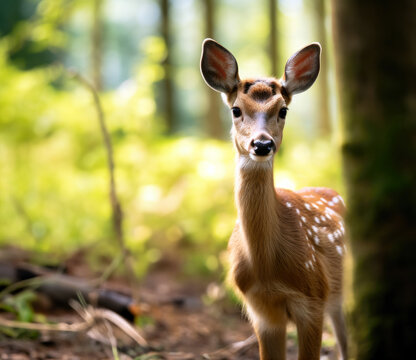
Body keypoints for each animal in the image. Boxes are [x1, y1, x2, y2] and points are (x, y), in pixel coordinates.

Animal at [202, 38, 348, 358]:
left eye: (283, 111)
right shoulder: (261, 310)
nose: (262, 144)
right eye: (236, 110)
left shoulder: (313, 299)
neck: (267, 268)